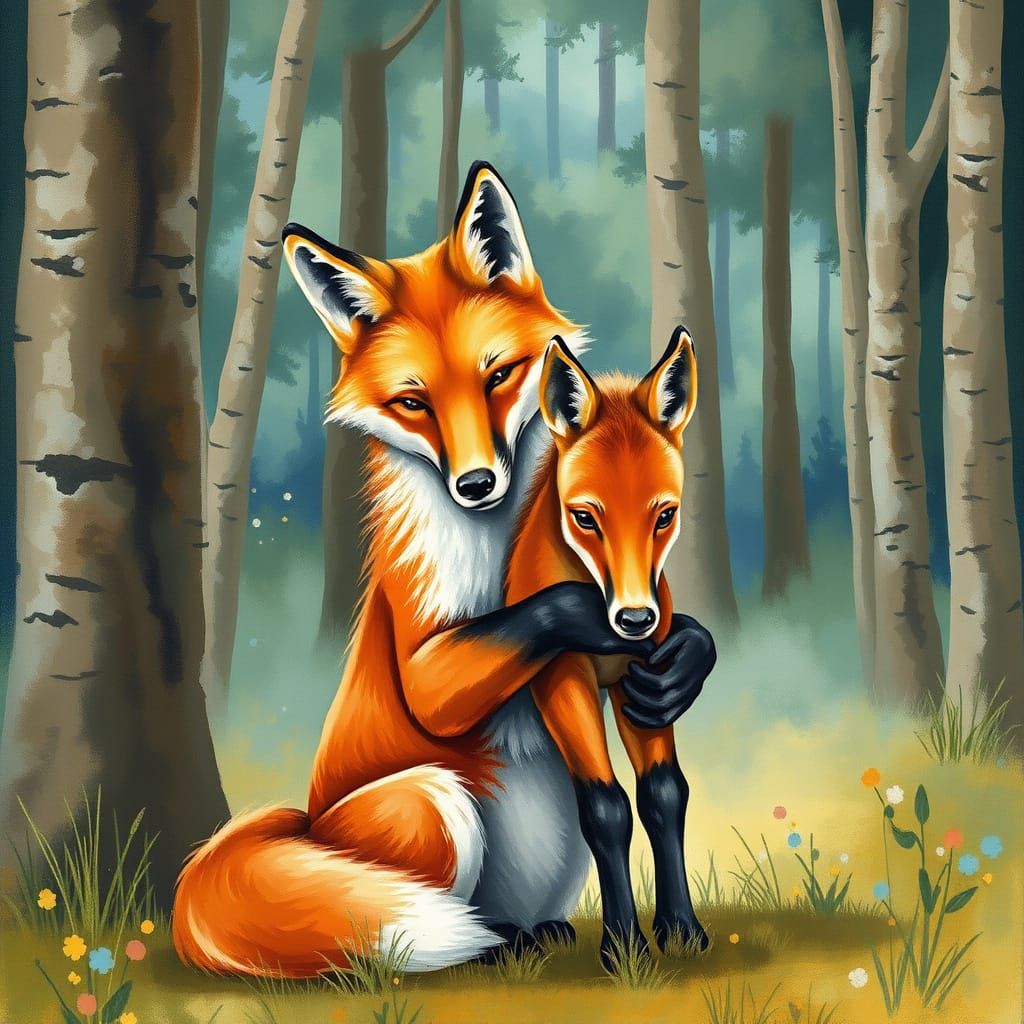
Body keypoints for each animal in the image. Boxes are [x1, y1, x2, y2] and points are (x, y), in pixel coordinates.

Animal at [510, 330, 708, 965]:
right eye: (585, 517)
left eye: (665, 515)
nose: (636, 618)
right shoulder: (561, 681)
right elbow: (606, 807)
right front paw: (624, 945)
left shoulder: (642, 680)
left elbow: (664, 795)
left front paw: (681, 928)